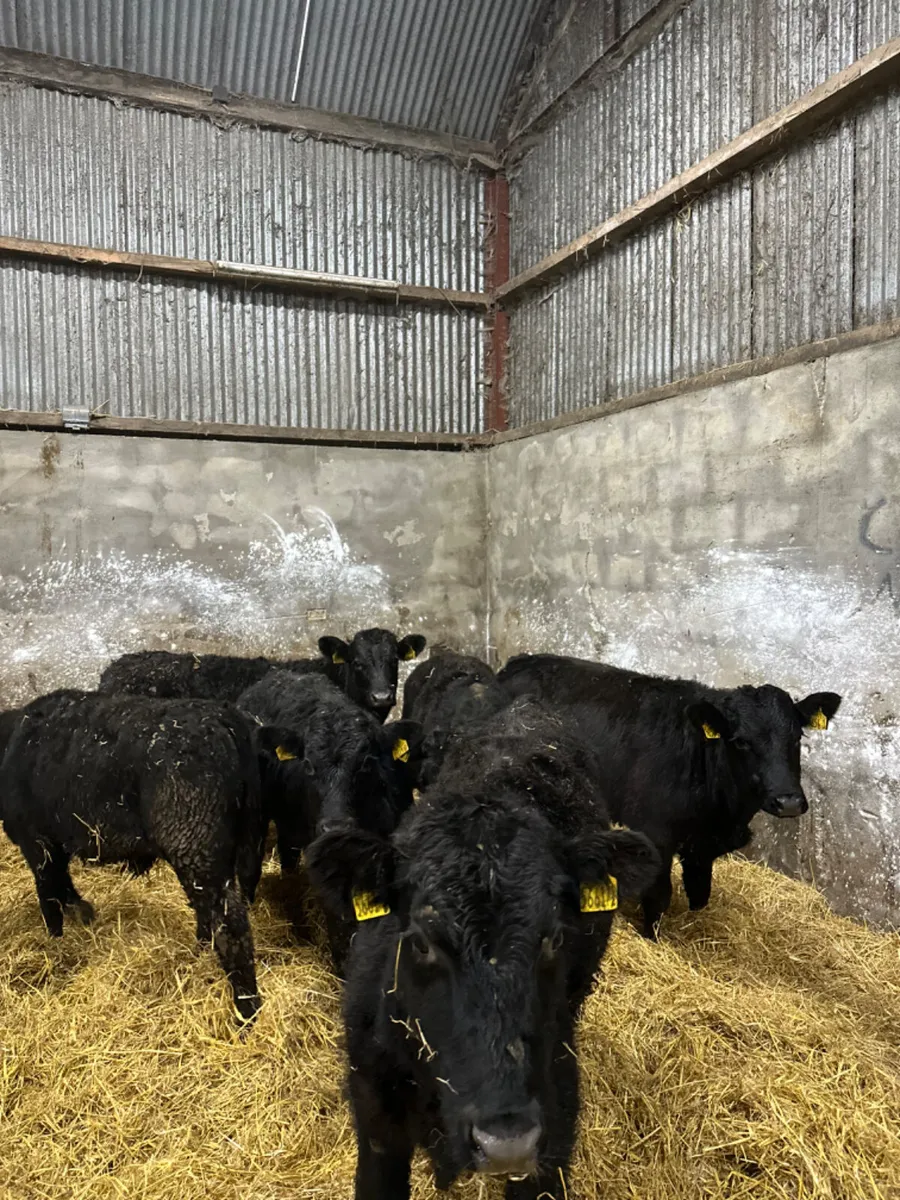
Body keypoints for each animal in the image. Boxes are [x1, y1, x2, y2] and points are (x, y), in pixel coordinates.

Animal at [0, 690, 266, 1021]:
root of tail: (223, 718)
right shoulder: (54, 843)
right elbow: (63, 887)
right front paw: (83, 914)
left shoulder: (37, 842)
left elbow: (48, 895)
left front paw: (55, 941)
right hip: (242, 841)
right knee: (219, 907)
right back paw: (201, 955)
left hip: (194, 841)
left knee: (231, 925)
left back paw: (246, 1012)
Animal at [497, 654, 842, 938]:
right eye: (742, 742)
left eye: (796, 738)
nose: (789, 802)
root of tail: (519, 662)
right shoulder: (657, 834)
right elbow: (658, 896)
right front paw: (652, 936)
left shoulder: (703, 845)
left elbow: (700, 892)